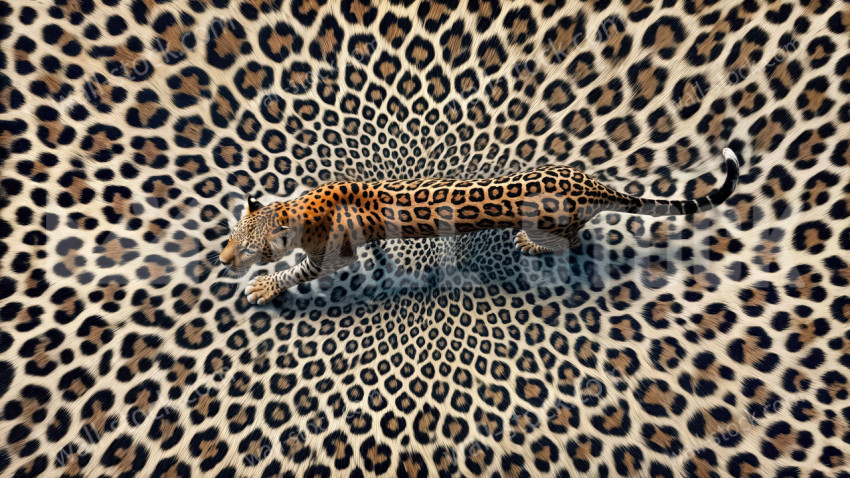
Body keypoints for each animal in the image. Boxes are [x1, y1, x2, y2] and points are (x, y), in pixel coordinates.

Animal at [224, 149, 739, 304]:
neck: (297, 208)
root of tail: (594, 186)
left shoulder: (332, 257)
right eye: (231, 237)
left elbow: (296, 271)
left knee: (572, 241)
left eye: (249, 249)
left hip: (554, 224)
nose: (223, 259)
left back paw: (532, 245)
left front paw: (264, 286)